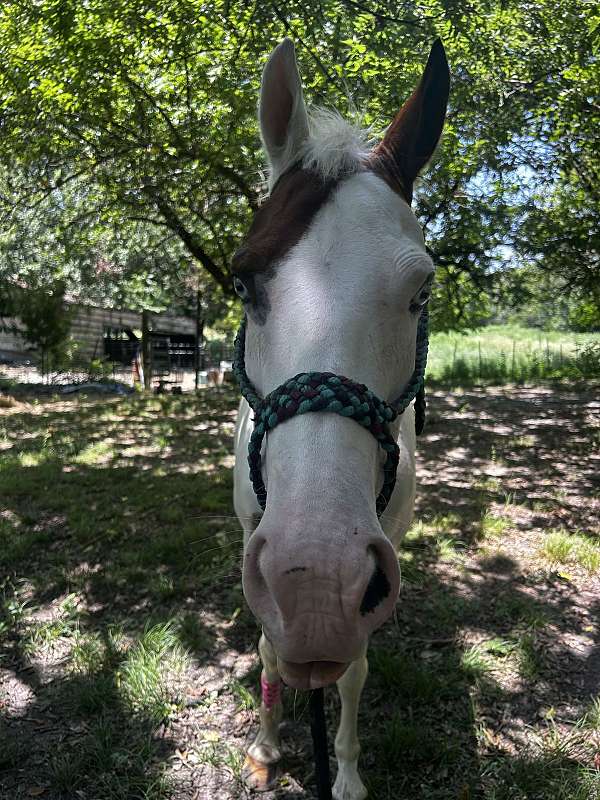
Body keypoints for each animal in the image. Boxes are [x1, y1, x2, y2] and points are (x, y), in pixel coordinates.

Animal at [232, 38, 449, 800]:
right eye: (242, 279)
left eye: (422, 290)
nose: (317, 589)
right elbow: (269, 647)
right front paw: (268, 747)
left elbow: (353, 670)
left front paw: (347, 773)